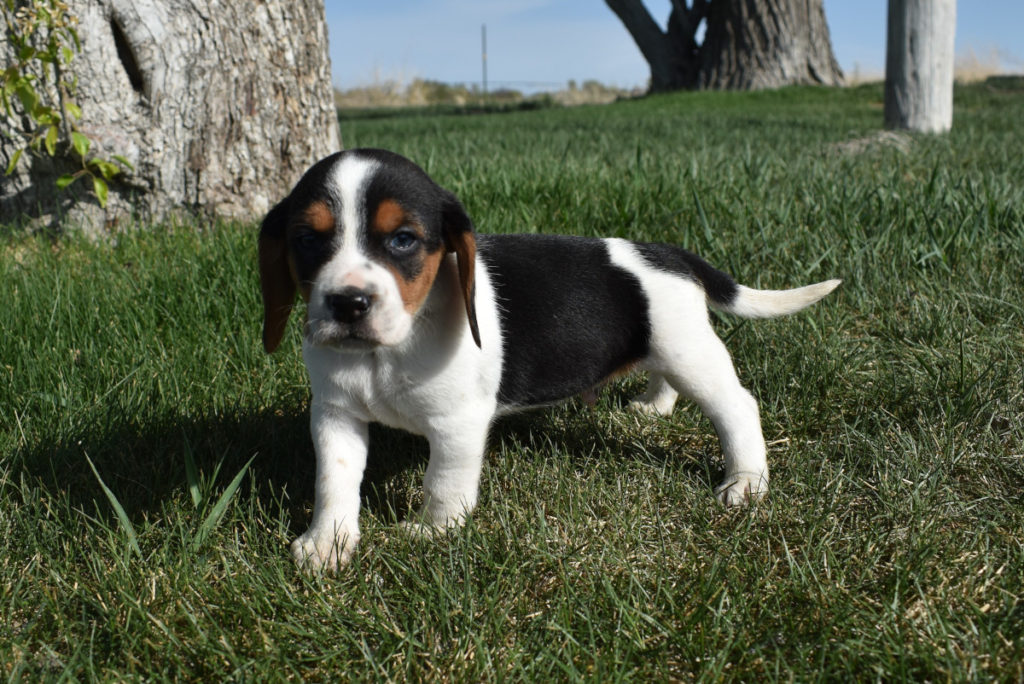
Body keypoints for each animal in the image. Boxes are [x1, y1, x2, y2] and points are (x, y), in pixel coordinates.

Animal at [258, 149, 839, 573]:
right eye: (306, 239)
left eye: (402, 240)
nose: (347, 303)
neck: (385, 352)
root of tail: (666, 253)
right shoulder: (335, 415)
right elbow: (334, 481)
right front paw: (327, 542)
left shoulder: (457, 425)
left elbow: (443, 484)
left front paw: (431, 533)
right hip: (671, 349)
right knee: (666, 380)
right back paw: (652, 407)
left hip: (689, 350)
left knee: (738, 407)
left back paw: (746, 482)